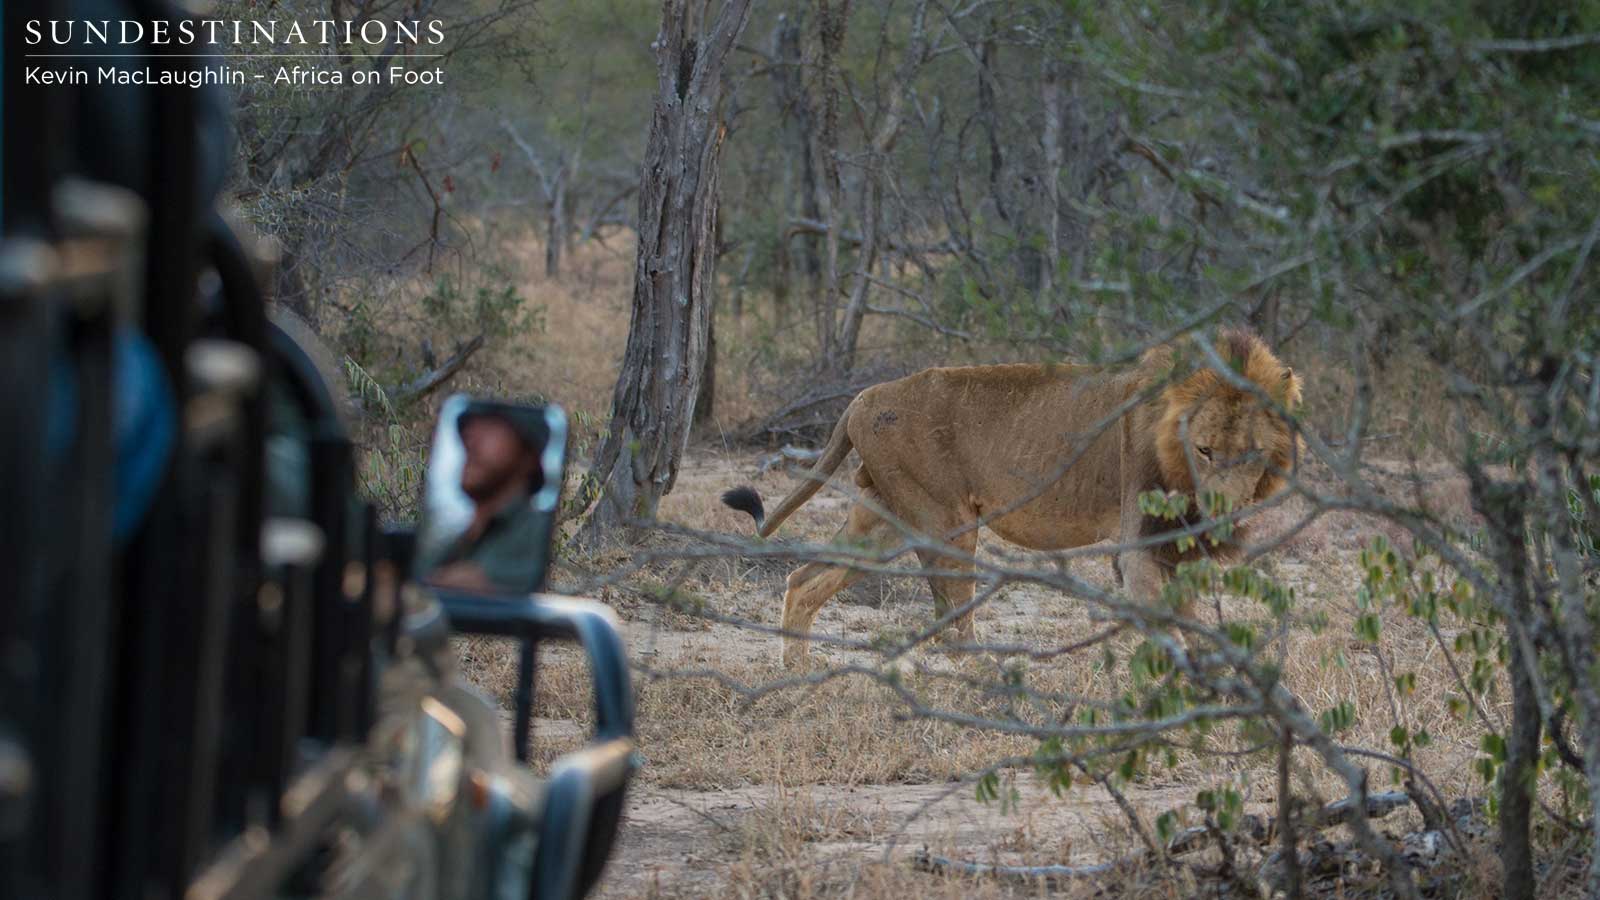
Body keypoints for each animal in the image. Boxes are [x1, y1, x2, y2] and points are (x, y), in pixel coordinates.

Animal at [722, 329, 1304, 668]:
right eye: (1204, 449)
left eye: (1252, 454)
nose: (1225, 514)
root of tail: (866, 396)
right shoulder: (1136, 543)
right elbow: (1165, 624)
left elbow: (1192, 621)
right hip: (945, 518)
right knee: (953, 624)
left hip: (883, 520)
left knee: (804, 581)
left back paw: (796, 676)